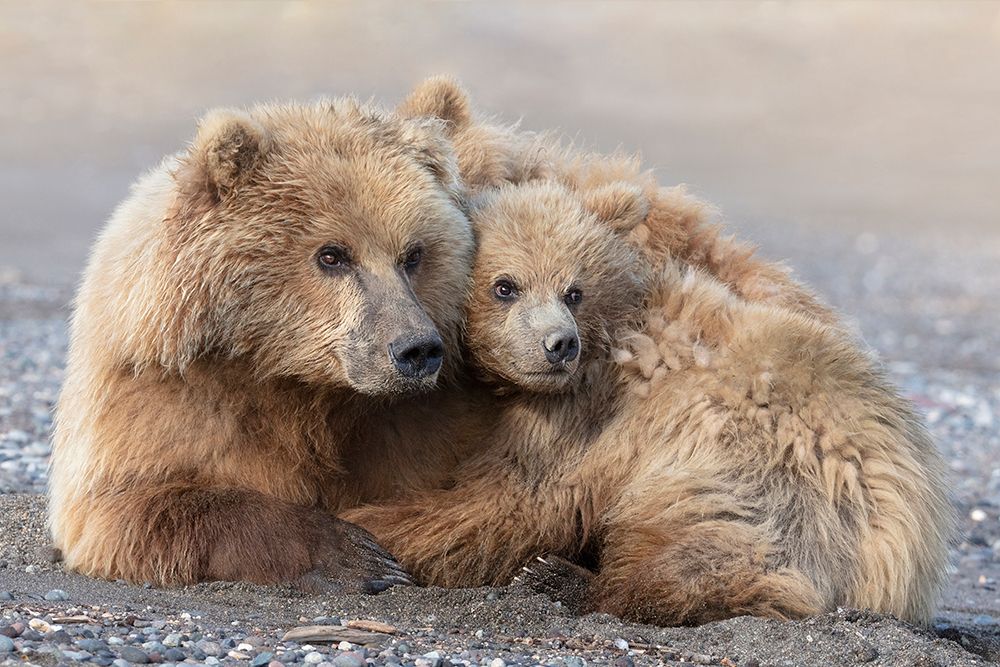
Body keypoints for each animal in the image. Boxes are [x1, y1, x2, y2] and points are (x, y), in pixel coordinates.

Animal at [48, 97, 482, 590]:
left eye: (413, 254)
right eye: (332, 255)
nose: (416, 349)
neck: (289, 380)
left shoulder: (416, 425)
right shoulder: (159, 401)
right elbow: (131, 506)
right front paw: (357, 554)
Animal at [342, 178, 953, 625]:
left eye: (573, 289)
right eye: (505, 286)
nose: (558, 344)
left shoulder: (585, 419)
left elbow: (507, 501)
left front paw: (365, 526)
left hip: (759, 476)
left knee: (711, 553)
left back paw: (562, 579)